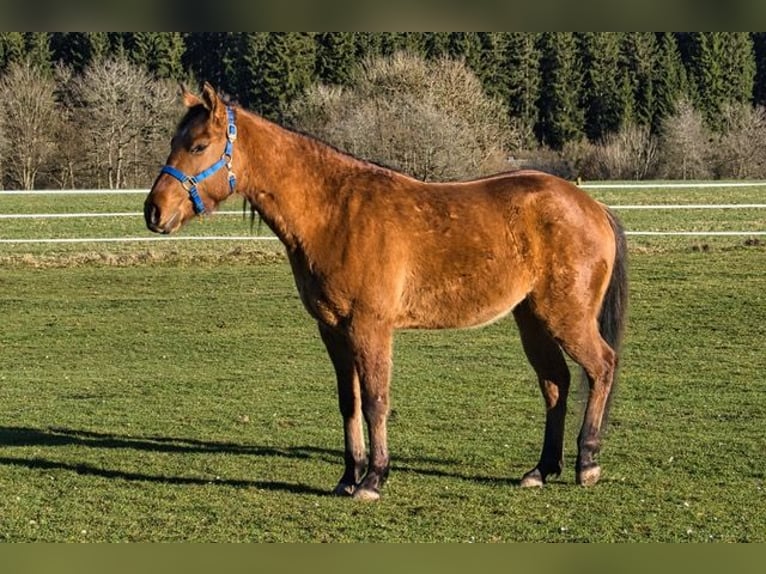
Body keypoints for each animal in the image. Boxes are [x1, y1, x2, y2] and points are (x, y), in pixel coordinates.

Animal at [144, 82, 628, 501]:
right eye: (175, 142)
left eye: (198, 146)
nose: (154, 211)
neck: (335, 212)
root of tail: (593, 207)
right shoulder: (333, 331)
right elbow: (350, 402)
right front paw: (348, 477)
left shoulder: (370, 327)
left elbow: (377, 400)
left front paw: (374, 479)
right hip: (532, 319)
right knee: (556, 383)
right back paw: (542, 469)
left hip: (565, 317)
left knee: (601, 367)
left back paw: (587, 462)